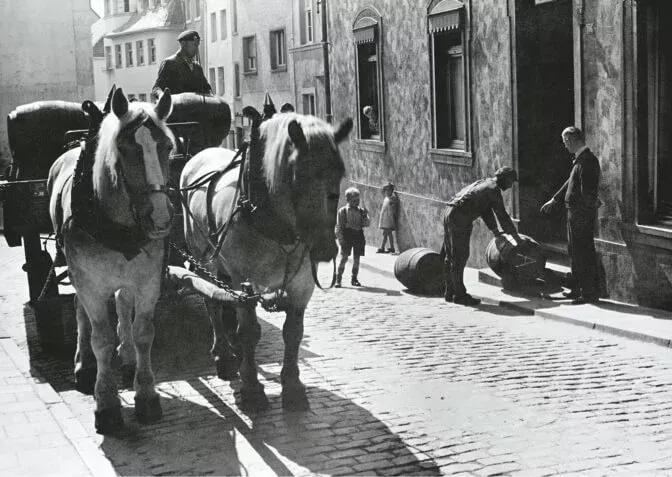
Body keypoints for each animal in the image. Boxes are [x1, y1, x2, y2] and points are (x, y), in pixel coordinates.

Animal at [49, 87, 176, 434]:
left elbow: (143, 331)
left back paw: (128, 356)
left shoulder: (148, 281)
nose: (160, 218)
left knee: (121, 305)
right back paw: (83, 364)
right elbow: (101, 340)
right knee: (80, 311)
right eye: (126, 148)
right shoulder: (90, 284)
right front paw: (105, 403)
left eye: (167, 146)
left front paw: (146, 394)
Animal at [181, 111, 354, 410]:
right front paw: (251, 387)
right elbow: (249, 331)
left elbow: (293, 333)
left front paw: (293, 385)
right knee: (212, 303)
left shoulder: (301, 285)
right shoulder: (242, 284)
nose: (324, 248)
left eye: (340, 172)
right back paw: (224, 355)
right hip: (205, 261)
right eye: (299, 175)